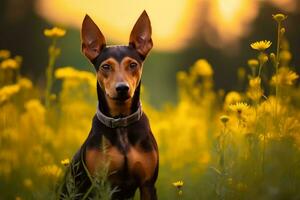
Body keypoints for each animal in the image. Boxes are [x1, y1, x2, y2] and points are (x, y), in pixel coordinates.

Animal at [60, 11, 159, 200]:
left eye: (133, 64)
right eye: (106, 66)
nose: (122, 88)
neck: (120, 122)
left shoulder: (148, 184)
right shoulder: (100, 184)